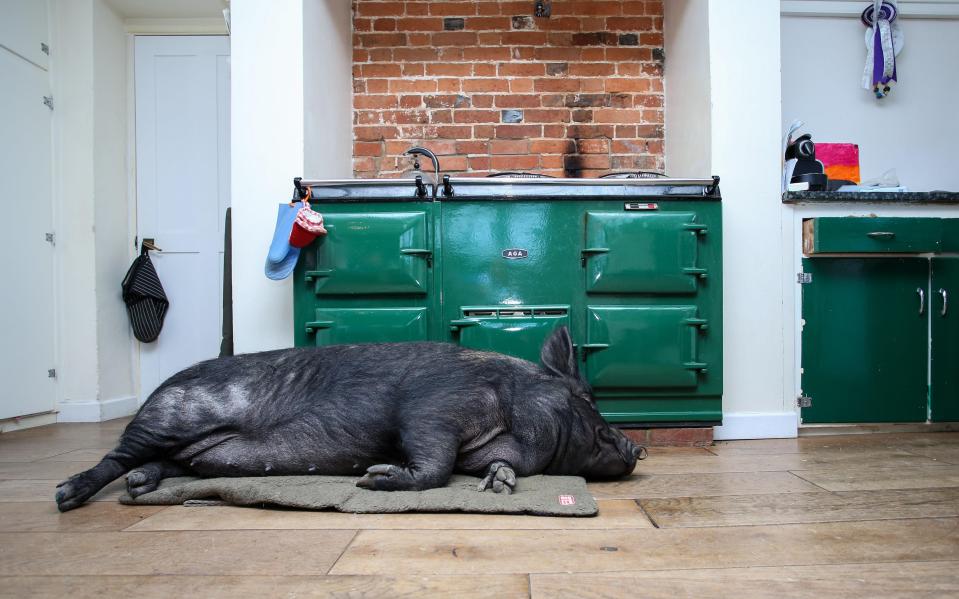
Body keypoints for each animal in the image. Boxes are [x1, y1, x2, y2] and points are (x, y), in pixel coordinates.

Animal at [54, 328, 644, 510]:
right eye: (587, 398)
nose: (638, 446)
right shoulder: (432, 410)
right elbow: (433, 464)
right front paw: (374, 478)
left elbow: (486, 468)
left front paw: (498, 482)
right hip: (166, 419)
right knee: (114, 456)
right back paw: (67, 494)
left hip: (190, 455)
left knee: (163, 466)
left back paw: (140, 485)